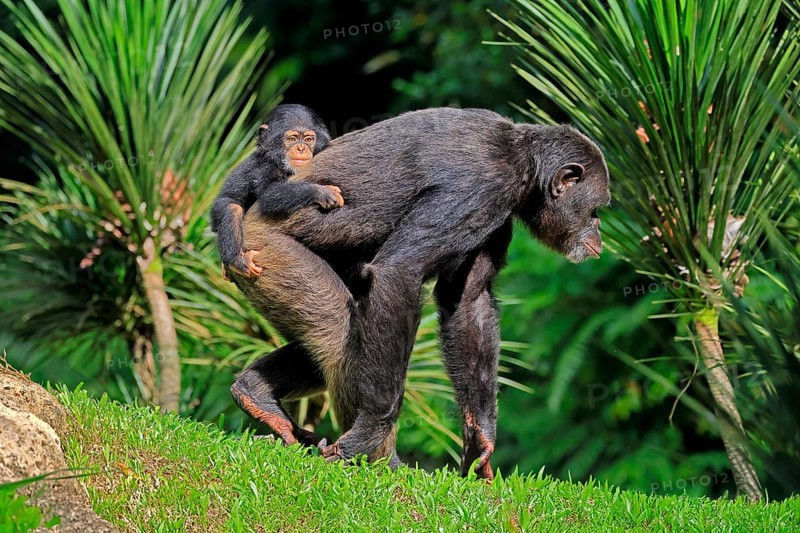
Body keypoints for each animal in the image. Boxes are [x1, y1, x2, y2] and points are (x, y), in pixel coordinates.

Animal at [210, 104, 343, 279]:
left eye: (308, 139)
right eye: (292, 139)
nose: (301, 148)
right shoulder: (267, 167)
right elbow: (270, 194)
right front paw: (323, 192)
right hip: (216, 212)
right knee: (232, 209)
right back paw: (236, 260)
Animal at [227, 107, 611, 479]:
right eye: (596, 208)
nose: (598, 229)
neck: (523, 164)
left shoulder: (495, 217)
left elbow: (469, 299)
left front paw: (481, 437)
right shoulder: (477, 189)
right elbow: (400, 270)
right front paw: (367, 437)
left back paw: (255, 393)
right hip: (268, 254)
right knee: (338, 331)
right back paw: (381, 462)